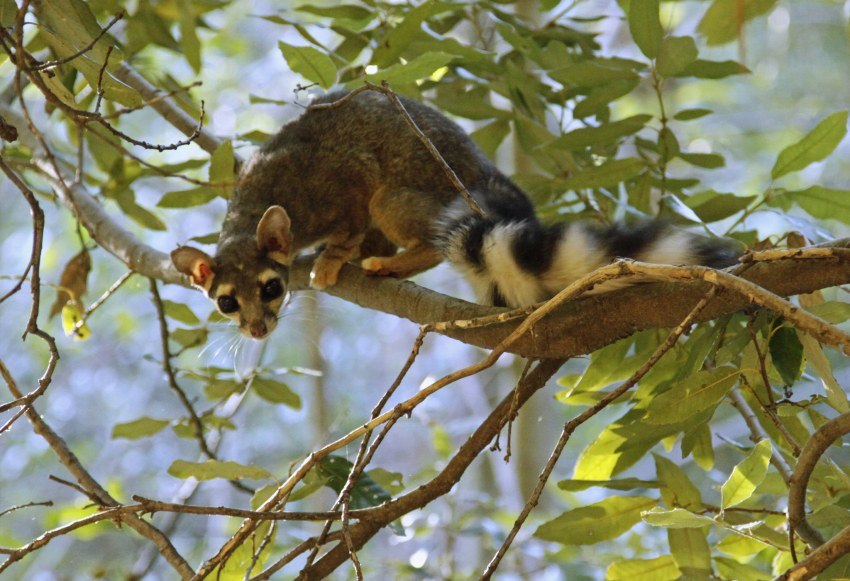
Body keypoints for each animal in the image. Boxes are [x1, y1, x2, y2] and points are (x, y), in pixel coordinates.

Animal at [171, 88, 736, 338]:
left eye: (272, 288)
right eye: (226, 302)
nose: (256, 330)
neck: (249, 215)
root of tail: (486, 175)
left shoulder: (338, 186)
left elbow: (350, 214)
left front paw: (332, 257)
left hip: (410, 189)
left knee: (401, 219)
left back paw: (396, 257)